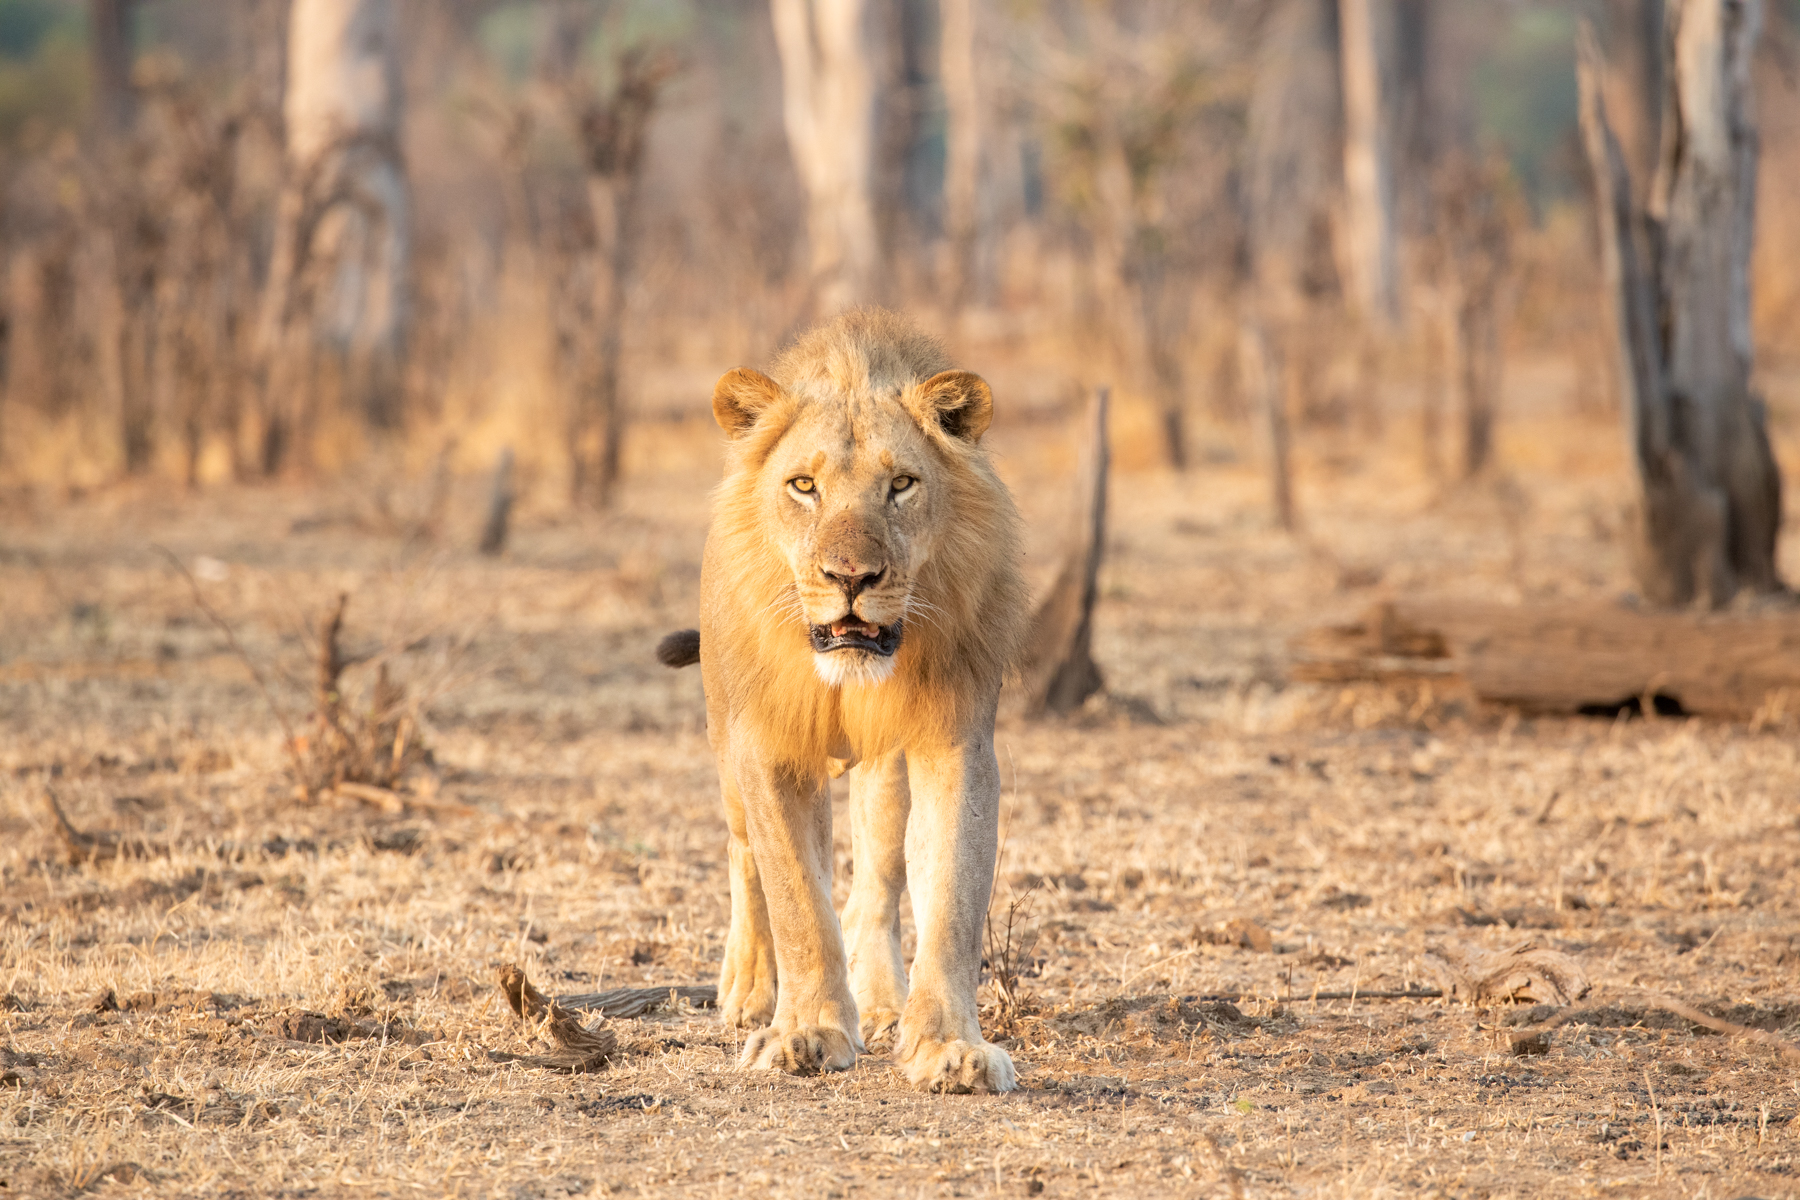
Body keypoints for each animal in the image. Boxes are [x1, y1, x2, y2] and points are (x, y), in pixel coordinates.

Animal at [657, 308, 1028, 1093]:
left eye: (902, 484)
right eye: (803, 485)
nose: (851, 576)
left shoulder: (955, 740)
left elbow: (951, 897)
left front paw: (949, 1046)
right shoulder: (766, 745)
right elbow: (797, 897)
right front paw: (805, 1033)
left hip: (884, 764)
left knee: (879, 877)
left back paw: (883, 1000)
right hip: (724, 742)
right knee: (743, 854)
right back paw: (749, 989)